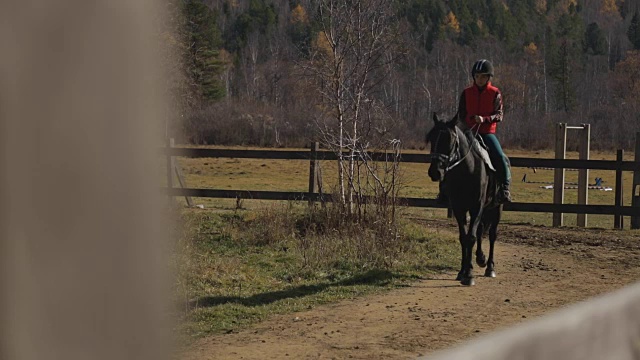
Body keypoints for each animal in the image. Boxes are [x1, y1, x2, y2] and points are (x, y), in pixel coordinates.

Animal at [424, 112, 504, 286]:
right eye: (432, 138)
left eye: (450, 139)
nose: (435, 172)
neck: (467, 170)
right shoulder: (459, 208)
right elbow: (464, 237)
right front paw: (463, 271)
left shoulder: (477, 207)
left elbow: (471, 237)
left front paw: (469, 274)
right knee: (480, 230)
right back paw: (480, 259)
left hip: (496, 208)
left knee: (492, 234)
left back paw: (490, 267)